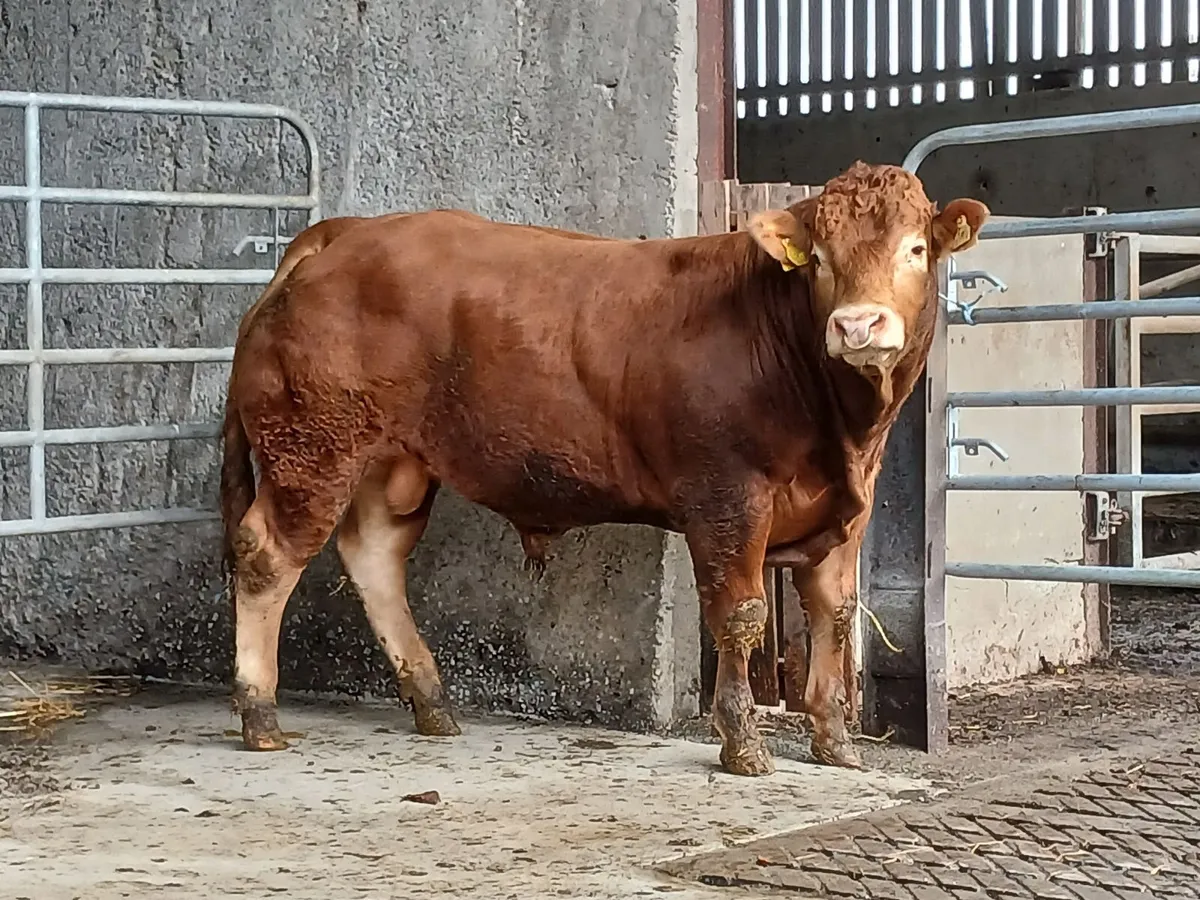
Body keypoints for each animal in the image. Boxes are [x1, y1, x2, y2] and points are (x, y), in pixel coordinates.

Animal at [220, 161, 989, 777]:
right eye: (820, 259)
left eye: (916, 248)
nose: (858, 326)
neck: (842, 430)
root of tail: (342, 233)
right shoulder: (726, 497)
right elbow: (739, 617)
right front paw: (743, 743)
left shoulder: (843, 509)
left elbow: (835, 612)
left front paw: (836, 743)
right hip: (310, 450)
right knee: (267, 556)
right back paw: (260, 714)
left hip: (390, 463)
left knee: (373, 556)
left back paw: (432, 703)